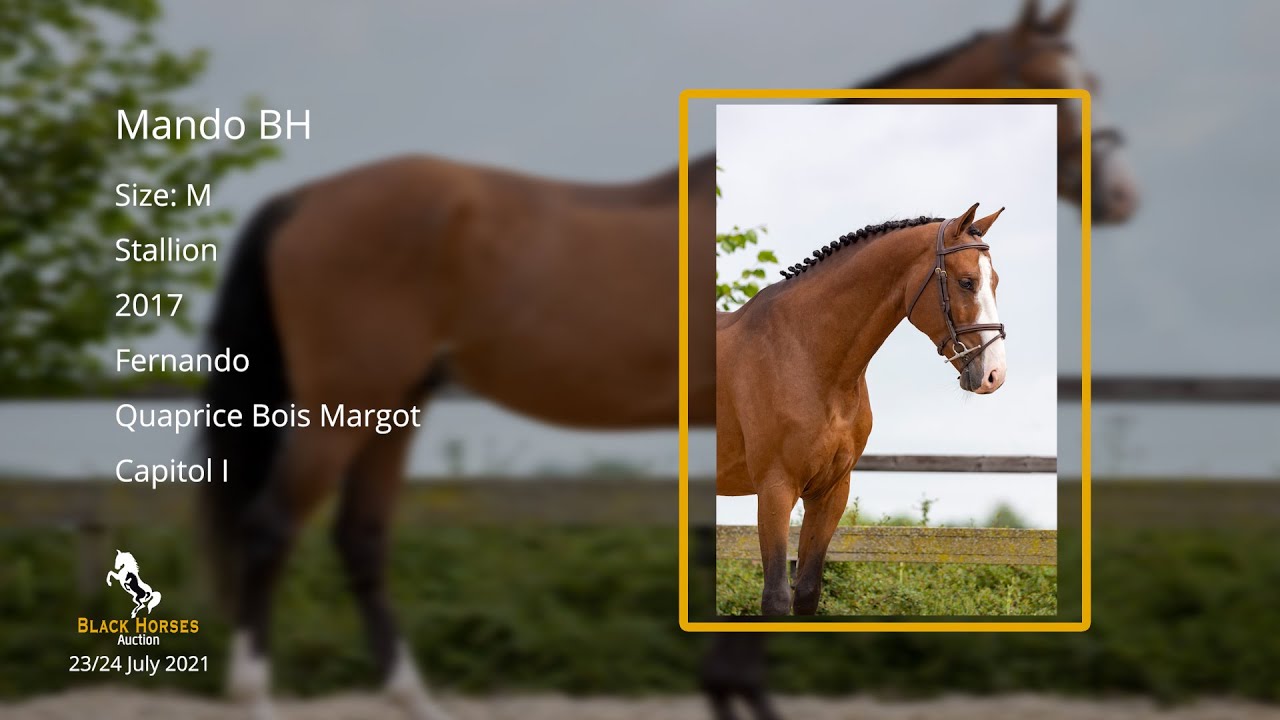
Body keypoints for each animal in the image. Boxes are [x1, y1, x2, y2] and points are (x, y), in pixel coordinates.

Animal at [716, 206, 1009, 616]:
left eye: (993, 281)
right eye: (967, 282)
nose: (994, 374)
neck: (803, 352)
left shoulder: (830, 493)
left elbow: (807, 591)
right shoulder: (775, 489)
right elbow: (775, 597)